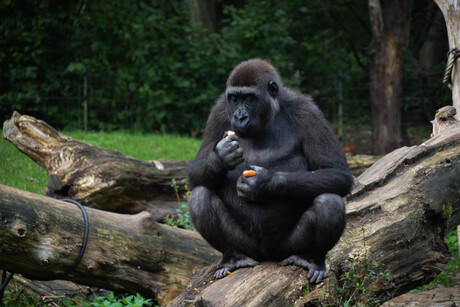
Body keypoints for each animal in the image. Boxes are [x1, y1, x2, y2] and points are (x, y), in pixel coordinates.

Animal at [187, 58, 352, 284]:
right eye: (234, 98)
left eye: (249, 98)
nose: (239, 117)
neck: (272, 112)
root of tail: (265, 256)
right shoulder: (219, 111)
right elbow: (195, 173)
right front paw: (221, 157)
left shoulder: (308, 112)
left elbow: (337, 171)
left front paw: (265, 183)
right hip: (247, 246)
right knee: (200, 196)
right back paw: (232, 256)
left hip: (284, 249)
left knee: (329, 201)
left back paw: (310, 258)